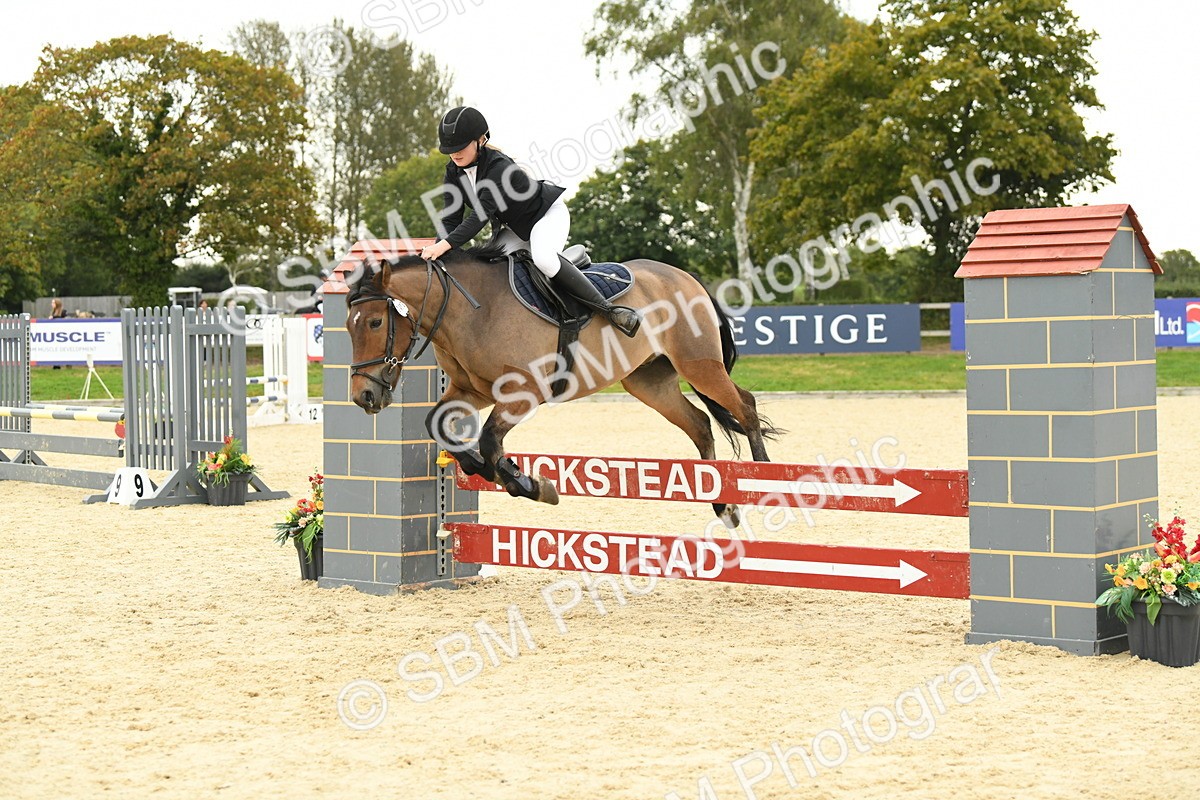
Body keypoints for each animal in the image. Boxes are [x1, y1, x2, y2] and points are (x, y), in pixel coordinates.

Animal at [345, 242, 781, 527]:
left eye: (376, 322)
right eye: (350, 326)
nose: (364, 396)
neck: (468, 311)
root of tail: (684, 277)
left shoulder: (524, 391)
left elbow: (489, 439)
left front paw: (529, 484)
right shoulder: (472, 391)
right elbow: (438, 425)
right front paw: (484, 469)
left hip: (699, 365)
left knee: (745, 407)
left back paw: (767, 483)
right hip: (649, 383)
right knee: (700, 424)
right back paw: (723, 506)